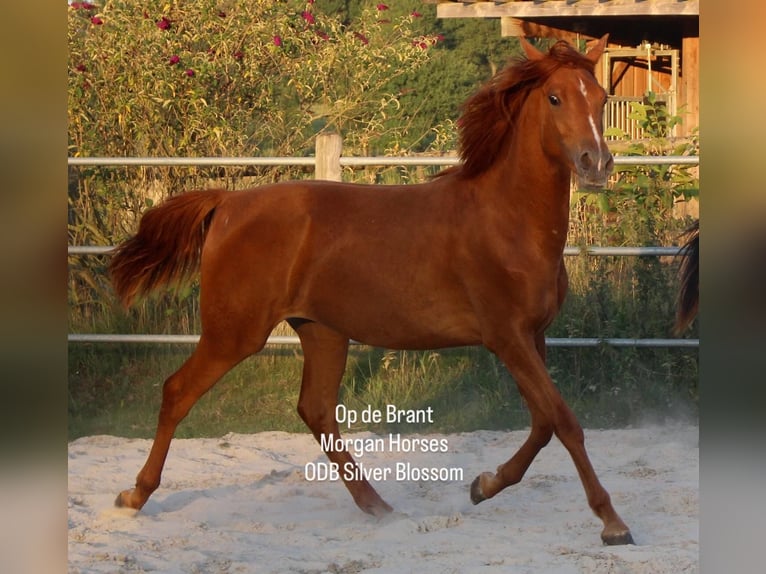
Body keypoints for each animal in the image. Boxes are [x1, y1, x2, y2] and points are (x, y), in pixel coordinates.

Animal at [108, 35, 634, 545]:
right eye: (554, 97)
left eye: (601, 97)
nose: (597, 163)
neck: (507, 220)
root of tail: (227, 203)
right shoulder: (507, 337)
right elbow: (564, 421)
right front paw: (613, 523)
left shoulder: (533, 335)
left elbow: (543, 423)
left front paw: (483, 486)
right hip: (234, 333)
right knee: (178, 392)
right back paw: (134, 496)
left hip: (321, 330)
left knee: (316, 411)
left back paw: (378, 506)